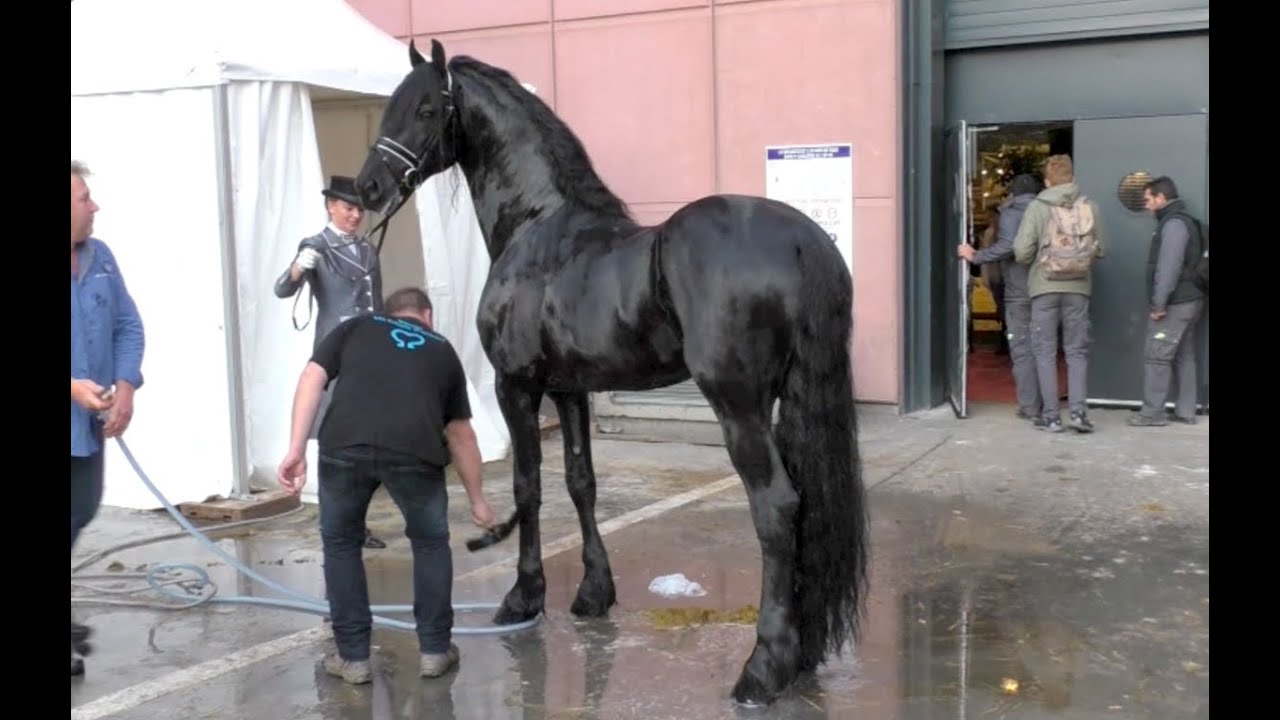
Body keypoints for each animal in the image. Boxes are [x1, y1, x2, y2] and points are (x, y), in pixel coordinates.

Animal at [354, 38, 870, 707]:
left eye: (423, 109)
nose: (365, 186)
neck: (538, 226)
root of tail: (804, 240)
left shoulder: (516, 387)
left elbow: (528, 486)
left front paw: (523, 596)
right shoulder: (571, 389)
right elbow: (581, 483)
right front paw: (593, 593)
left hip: (739, 407)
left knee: (777, 507)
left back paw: (763, 668)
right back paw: (801, 655)